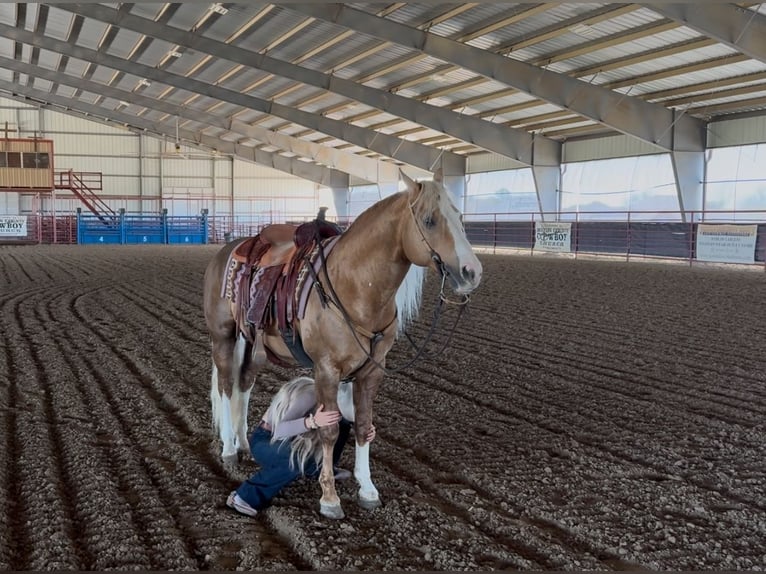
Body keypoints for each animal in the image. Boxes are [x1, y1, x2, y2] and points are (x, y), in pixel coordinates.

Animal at [202, 169, 480, 520]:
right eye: (429, 220)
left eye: (459, 216)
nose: (472, 272)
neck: (355, 285)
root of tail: (229, 249)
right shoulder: (326, 370)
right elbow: (329, 431)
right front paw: (330, 498)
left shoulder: (372, 371)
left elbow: (362, 426)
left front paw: (368, 489)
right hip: (223, 336)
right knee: (226, 386)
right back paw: (228, 447)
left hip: (254, 344)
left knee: (244, 384)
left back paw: (245, 444)